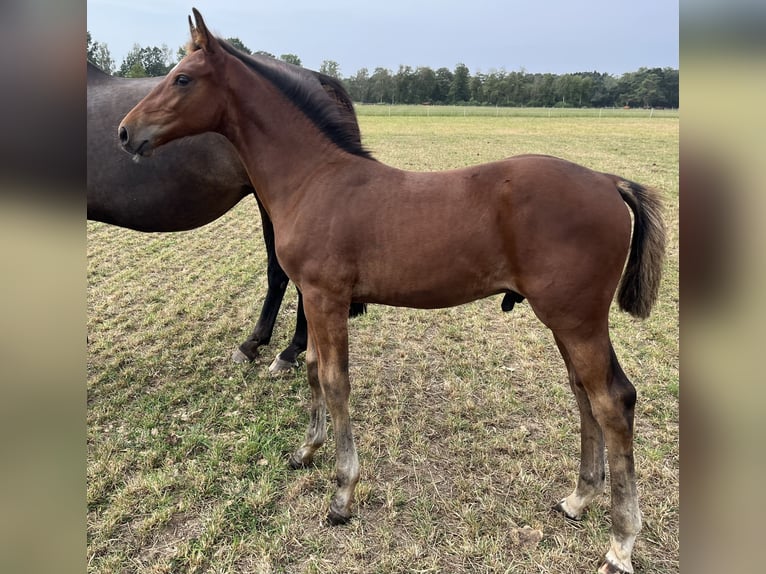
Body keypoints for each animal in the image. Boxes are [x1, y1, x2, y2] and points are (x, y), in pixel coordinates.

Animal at [118, 10, 664, 574]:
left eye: (183, 78)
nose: (125, 132)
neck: (314, 179)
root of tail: (607, 180)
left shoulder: (326, 297)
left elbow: (334, 381)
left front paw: (342, 495)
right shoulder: (313, 298)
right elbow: (311, 368)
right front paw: (306, 452)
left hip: (577, 319)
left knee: (611, 401)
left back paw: (620, 543)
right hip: (566, 320)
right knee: (584, 394)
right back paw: (578, 499)